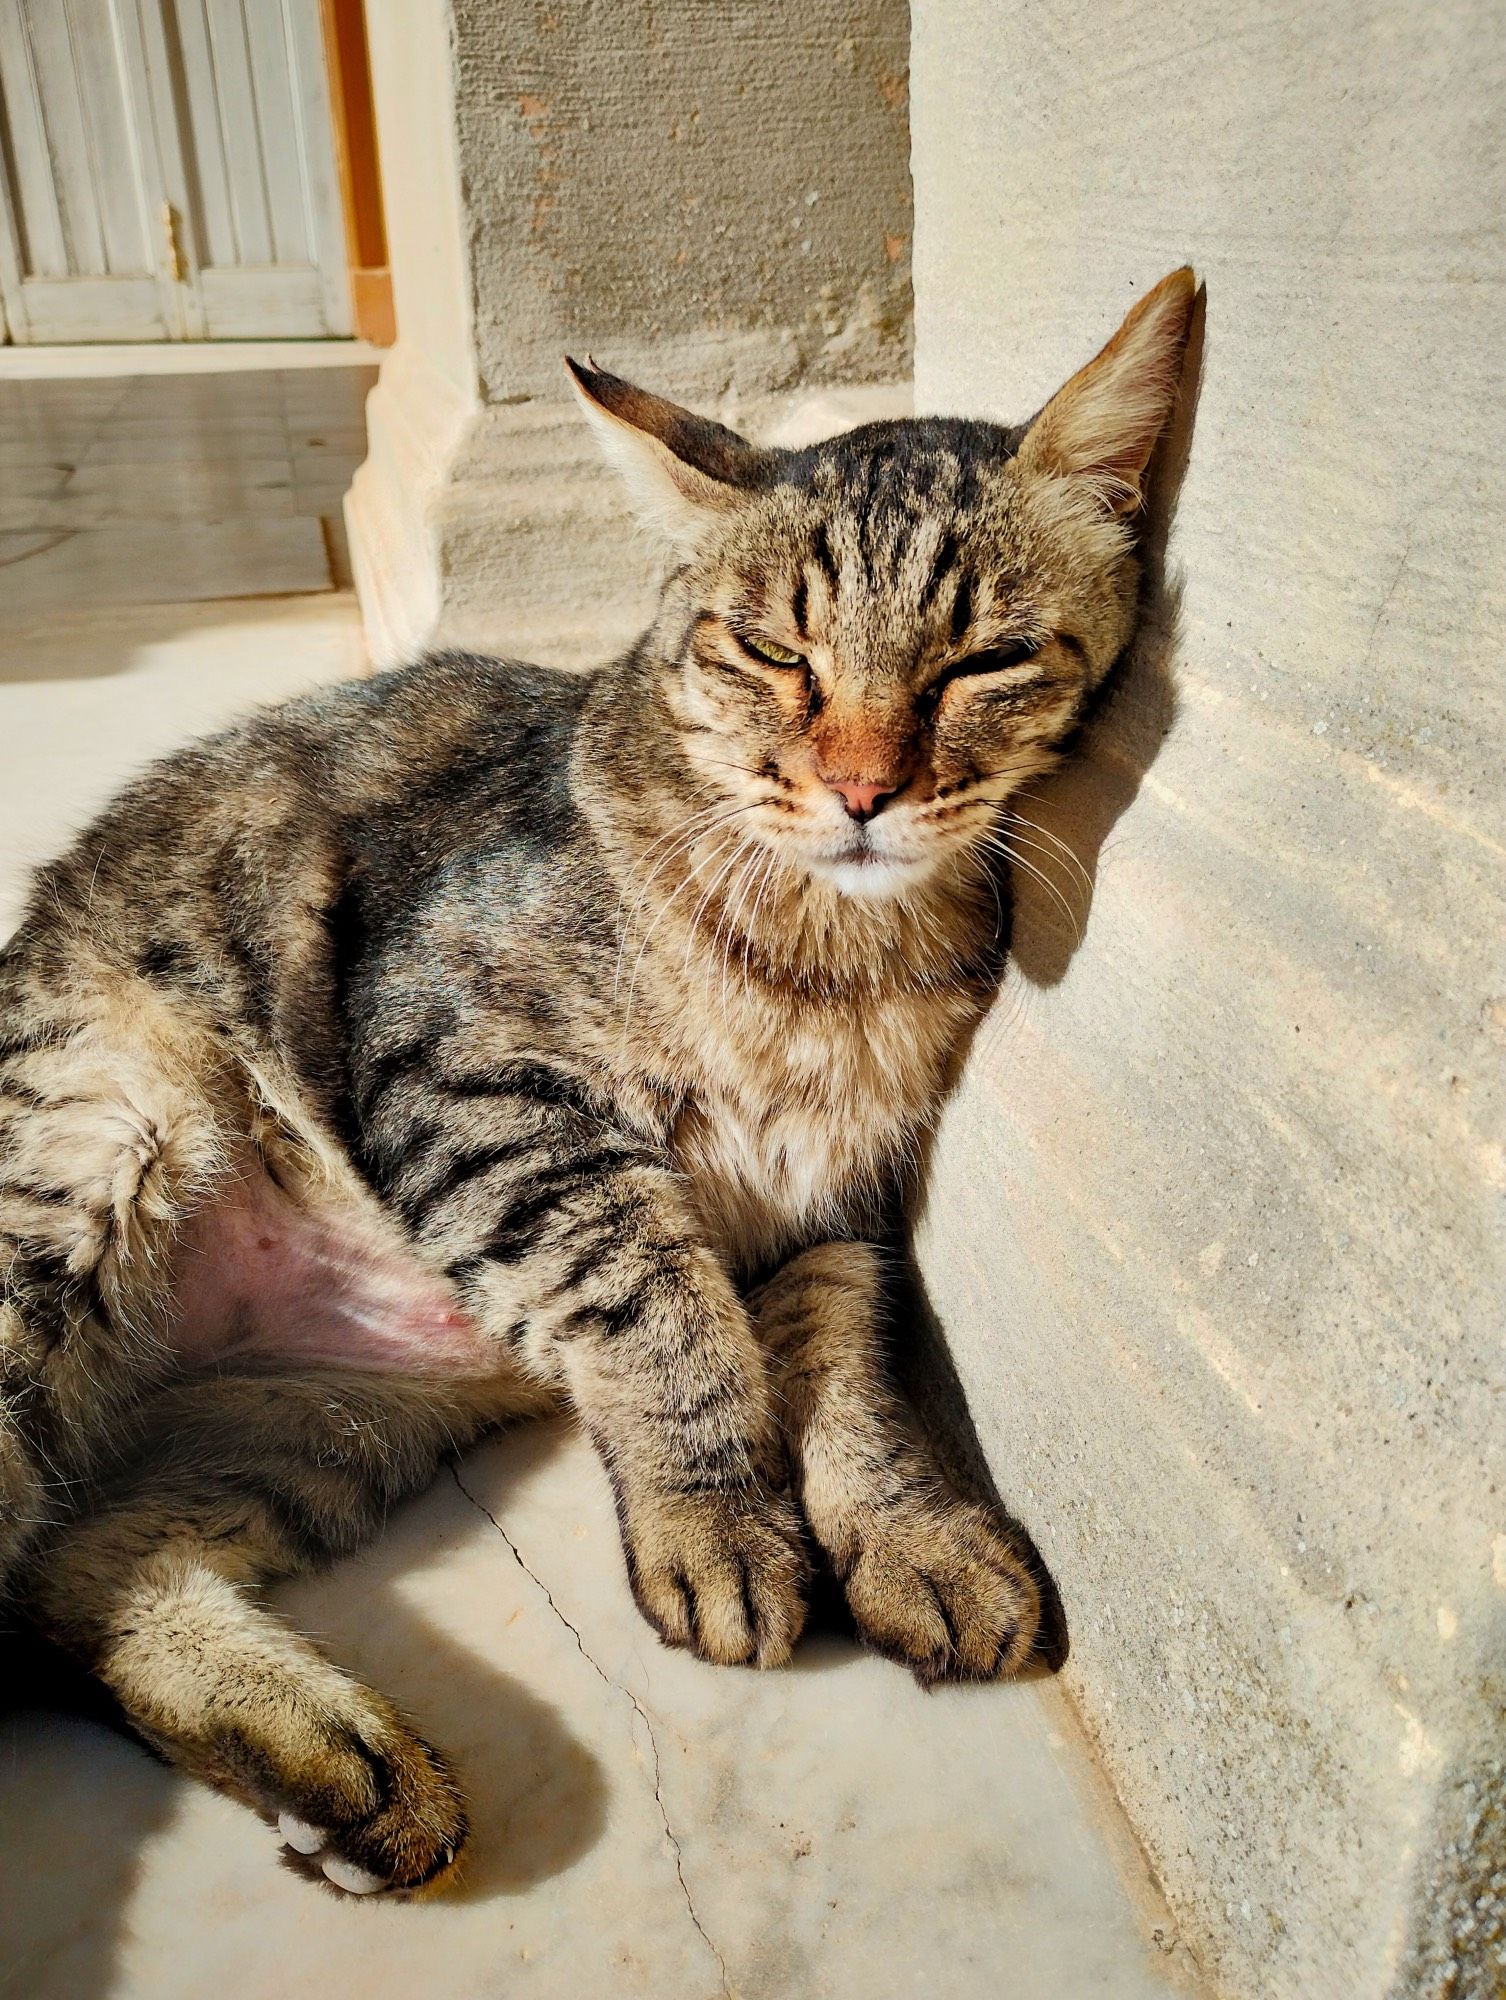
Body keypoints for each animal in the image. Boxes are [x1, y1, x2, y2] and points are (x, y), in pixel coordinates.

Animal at [2, 266, 1200, 1888]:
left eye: (982, 660)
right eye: (774, 653)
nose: (860, 789)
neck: (825, 955)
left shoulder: (840, 1201)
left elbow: (852, 1359)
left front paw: (912, 1528)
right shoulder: (468, 1081)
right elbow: (655, 1300)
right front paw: (715, 1518)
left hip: (312, 1419)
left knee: (79, 1571)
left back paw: (327, 1758)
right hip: (89, 1160)